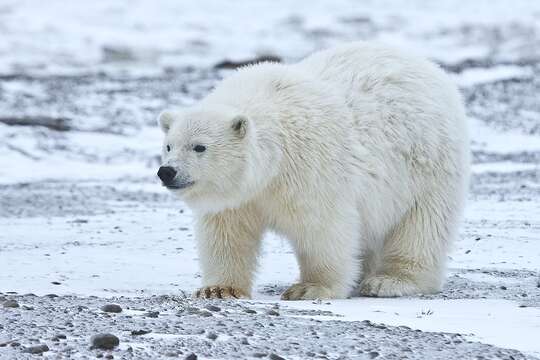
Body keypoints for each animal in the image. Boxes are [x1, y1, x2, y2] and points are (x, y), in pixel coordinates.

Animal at [156, 42, 468, 300]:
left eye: (199, 147)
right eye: (169, 145)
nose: (166, 172)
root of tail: (426, 65)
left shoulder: (310, 167)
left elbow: (323, 227)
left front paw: (311, 287)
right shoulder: (237, 198)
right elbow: (227, 234)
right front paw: (219, 289)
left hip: (426, 164)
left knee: (421, 226)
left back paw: (389, 281)